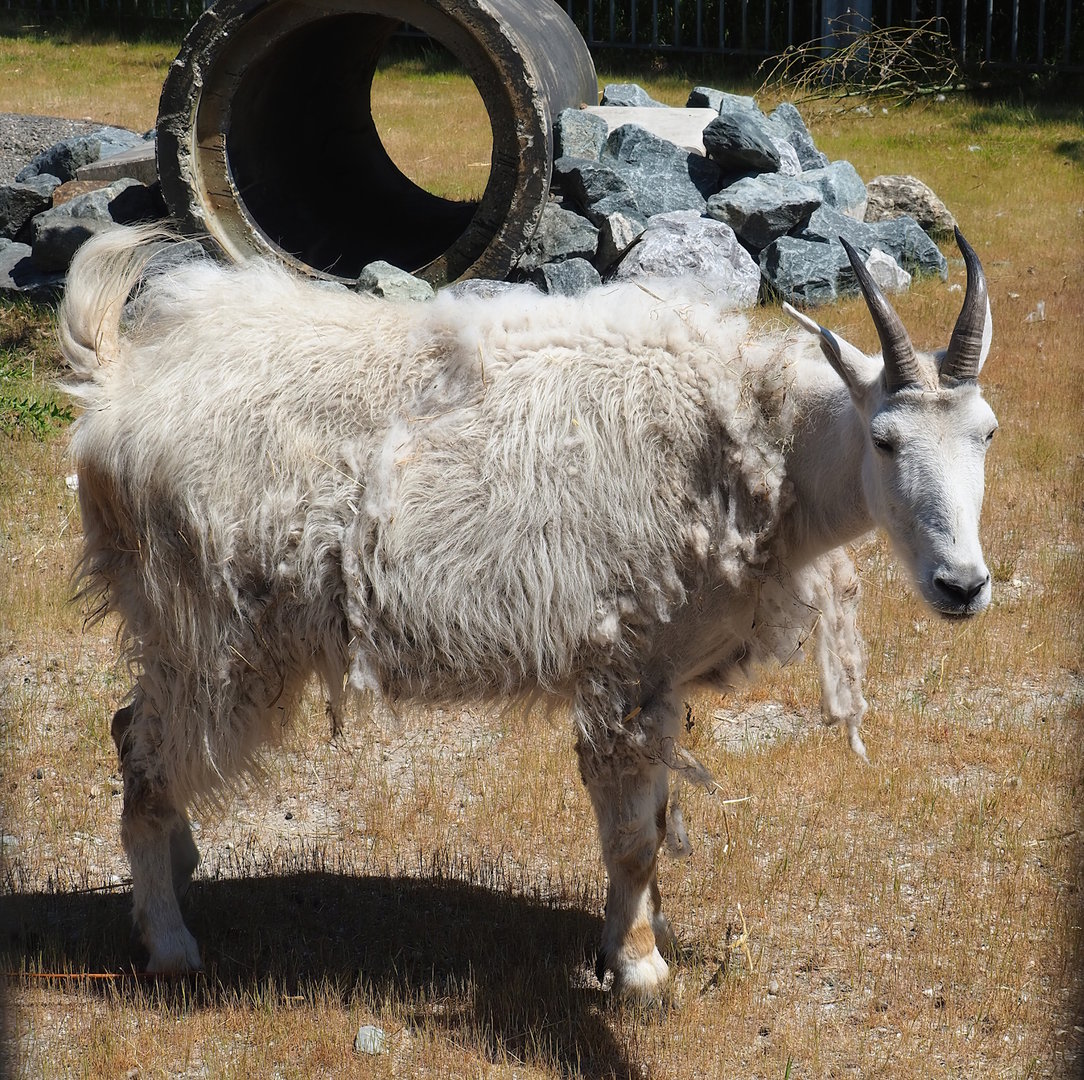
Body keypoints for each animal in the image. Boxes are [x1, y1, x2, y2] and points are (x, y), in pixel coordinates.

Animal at [59, 224, 996, 999]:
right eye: (885, 439)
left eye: (986, 431)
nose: (963, 585)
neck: (755, 442)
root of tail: (114, 391)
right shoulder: (624, 664)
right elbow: (632, 834)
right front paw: (639, 968)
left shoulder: (659, 676)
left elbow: (656, 816)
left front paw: (637, 935)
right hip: (208, 628)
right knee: (145, 761)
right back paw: (171, 943)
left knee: (128, 729)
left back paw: (180, 872)